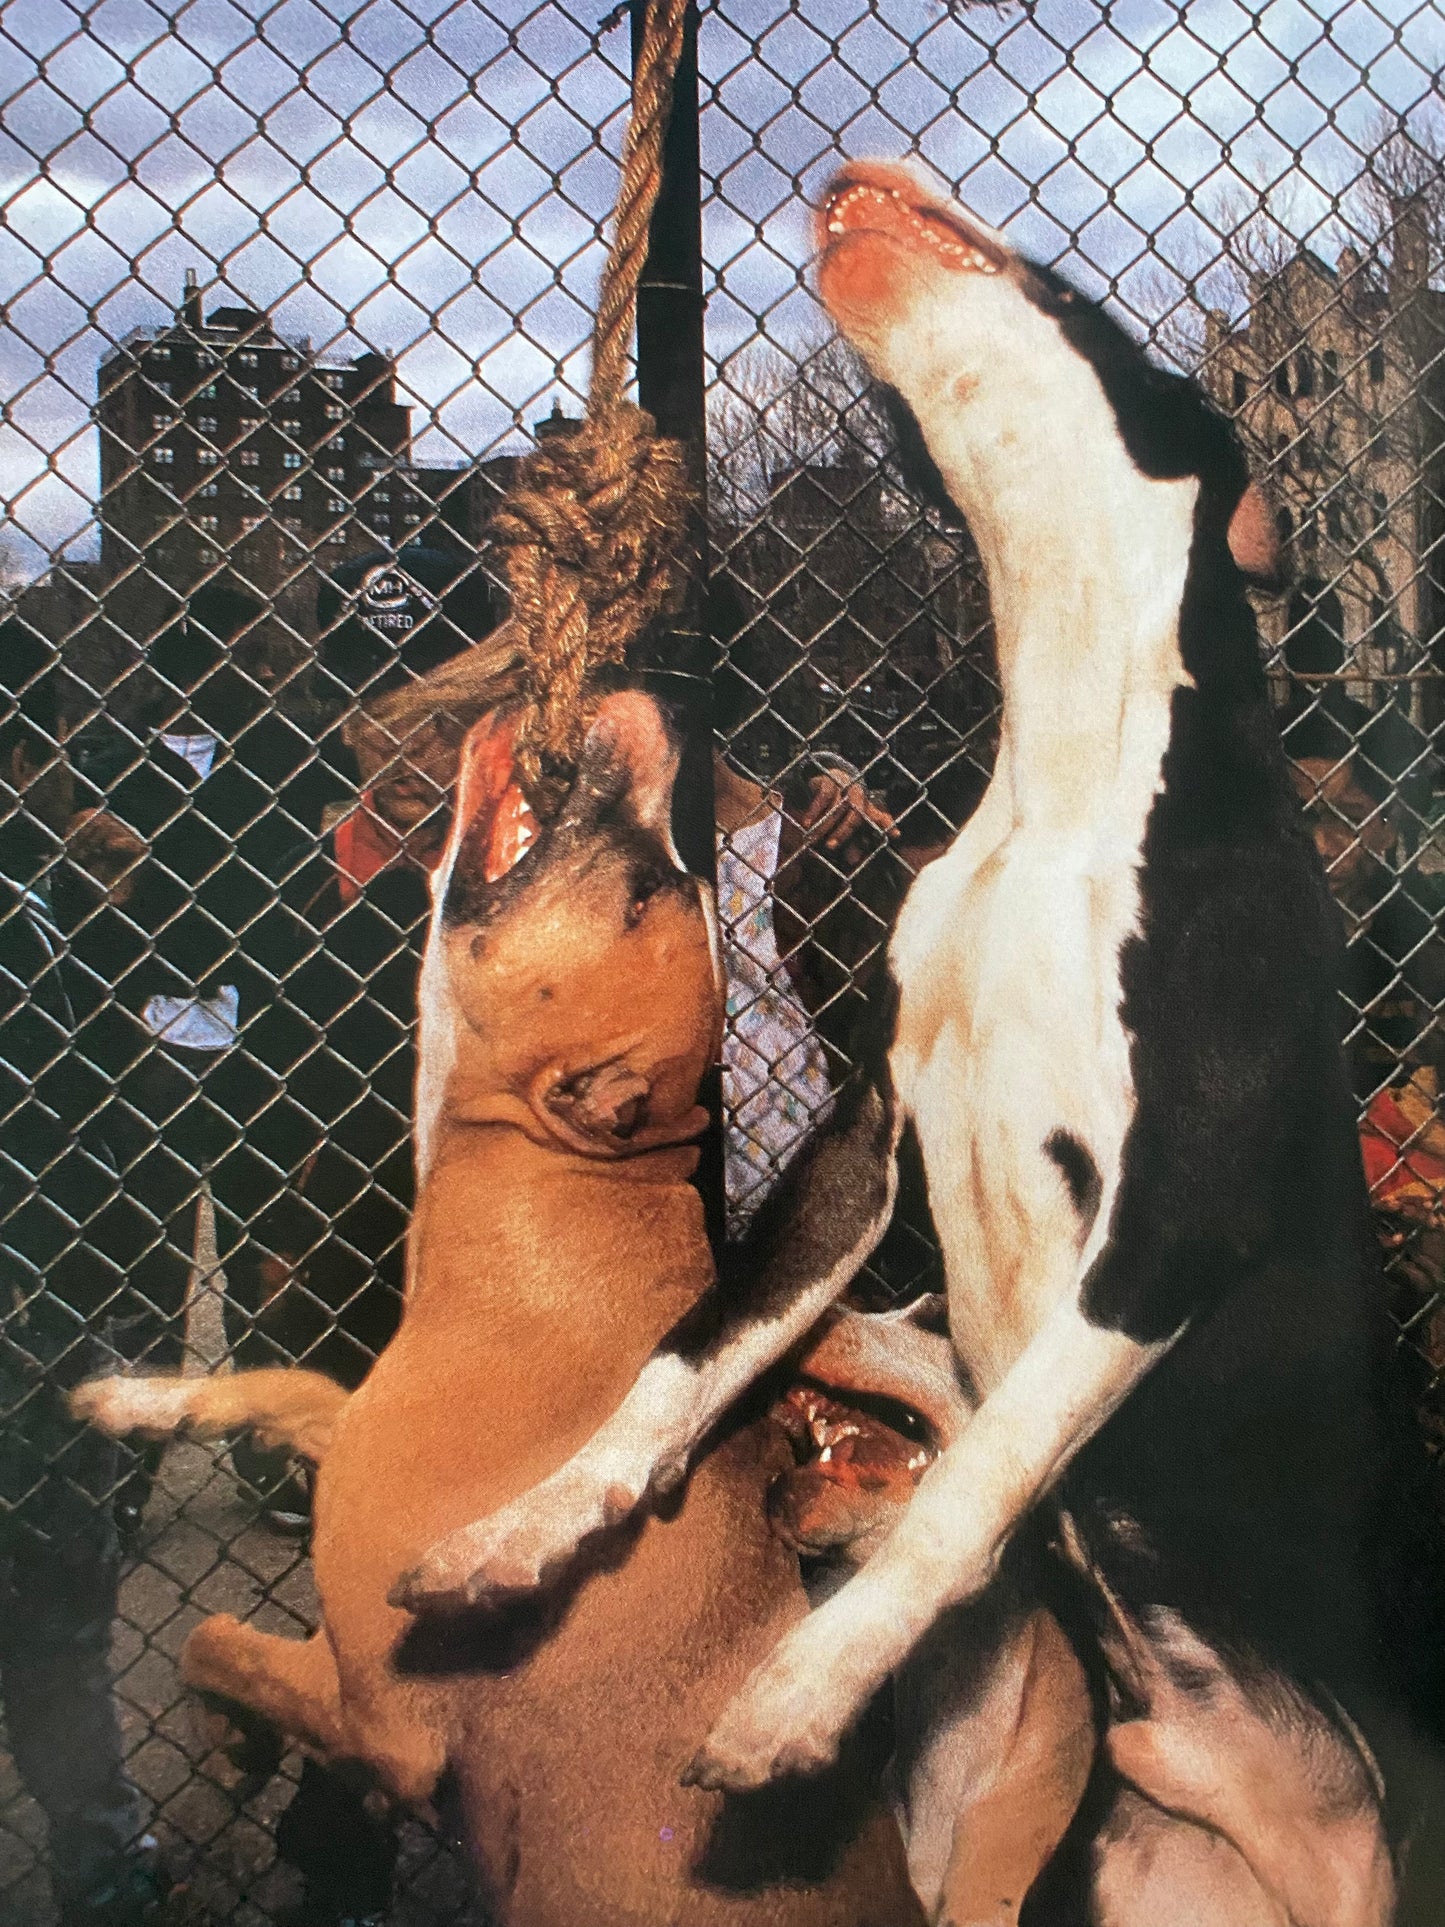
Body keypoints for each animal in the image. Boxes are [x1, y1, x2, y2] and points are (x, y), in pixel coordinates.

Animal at [73, 691, 925, 1927]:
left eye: (642, 893)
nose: (667, 713)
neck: (556, 1208)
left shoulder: (386, 1723)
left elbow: (211, 1636)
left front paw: (233, 1744)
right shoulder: (354, 1429)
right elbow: (278, 1383)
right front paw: (132, 1400)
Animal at [397, 171, 1445, 1924]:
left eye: (1082, 294)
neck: (1069, 768)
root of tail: (1272, 1805)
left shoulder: (1172, 1211)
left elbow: (979, 1475)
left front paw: (804, 1686)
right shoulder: (861, 1137)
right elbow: (688, 1350)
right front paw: (529, 1525)